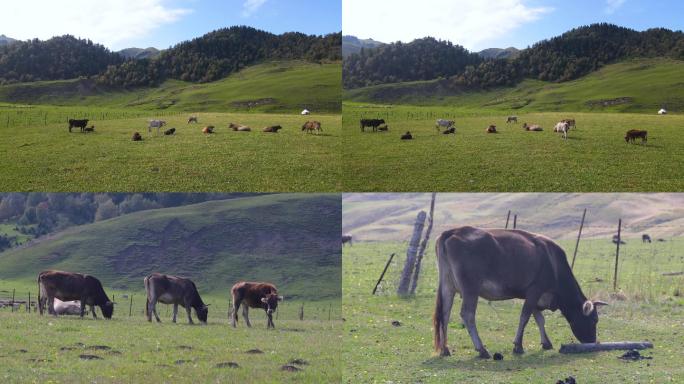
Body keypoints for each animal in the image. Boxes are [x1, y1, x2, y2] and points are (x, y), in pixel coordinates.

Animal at [436, 226, 608, 358]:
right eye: (594, 320)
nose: (592, 342)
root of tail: (454, 231)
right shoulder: (534, 290)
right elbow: (525, 317)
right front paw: (518, 346)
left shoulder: (536, 296)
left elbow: (539, 319)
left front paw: (546, 343)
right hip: (471, 289)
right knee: (467, 315)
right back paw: (482, 350)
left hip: (447, 286)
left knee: (445, 314)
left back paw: (445, 349)